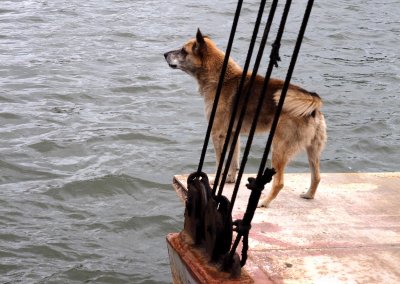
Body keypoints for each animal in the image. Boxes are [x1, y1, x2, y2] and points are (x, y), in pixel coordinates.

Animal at [164, 29, 326, 209]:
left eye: (183, 51)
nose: (164, 54)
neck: (220, 78)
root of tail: (312, 106)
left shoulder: (217, 134)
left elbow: (221, 163)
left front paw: (216, 181)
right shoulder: (233, 134)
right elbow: (233, 162)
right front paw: (229, 180)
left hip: (279, 148)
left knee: (279, 182)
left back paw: (264, 202)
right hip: (313, 149)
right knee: (316, 176)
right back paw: (308, 195)